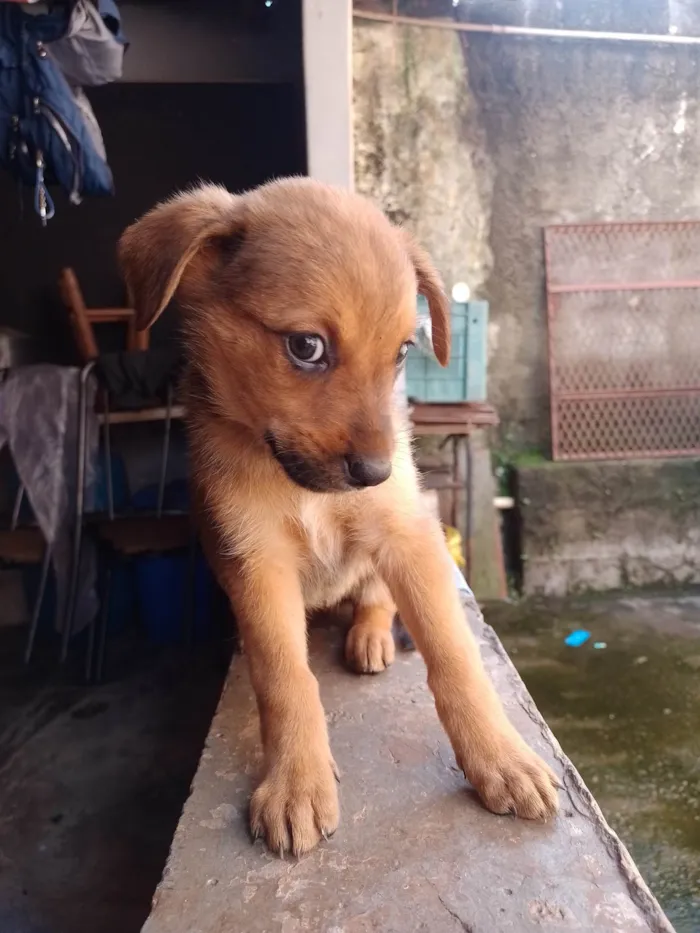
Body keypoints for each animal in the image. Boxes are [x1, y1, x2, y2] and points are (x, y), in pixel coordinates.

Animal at [120, 178, 556, 856]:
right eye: (307, 347)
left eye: (403, 351)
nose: (378, 472)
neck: (298, 485)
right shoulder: (256, 561)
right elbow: (285, 677)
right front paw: (296, 782)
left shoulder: (407, 535)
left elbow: (455, 655)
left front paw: (501, 759)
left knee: (375, 596)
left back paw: (371, 635)